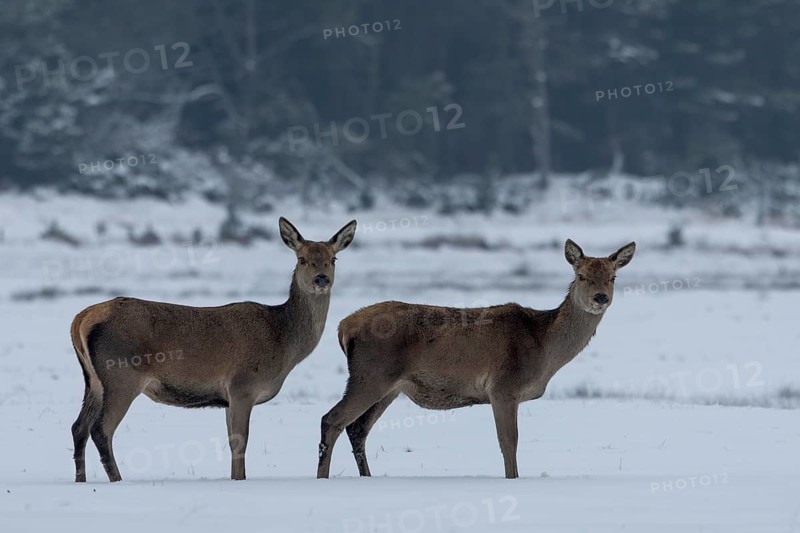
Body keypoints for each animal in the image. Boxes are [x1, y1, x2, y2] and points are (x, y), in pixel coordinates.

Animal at [70, 217, 357, 482]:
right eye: (302, 259)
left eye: (333, 259)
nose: (322, 279)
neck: (283, 342)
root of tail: (81, 319)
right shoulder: (242, 385)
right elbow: (240, 441)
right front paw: (239, 479)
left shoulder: (228, 396)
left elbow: (231, 441)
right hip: (121, 376)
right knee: (101, 430)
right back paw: (117, 480)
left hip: (94, 381)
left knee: (78, 427)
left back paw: (81, 480)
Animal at [317, 239, 635, 479]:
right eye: (581, 276)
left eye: (612, 277)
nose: (600, 298)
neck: (543, 348)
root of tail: (343, 327)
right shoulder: (504, 386)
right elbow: (509, 442)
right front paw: (513, 478)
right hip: (371, 374)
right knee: (332, 420)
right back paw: (323, 478)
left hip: (390, 387)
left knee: (357, 429)